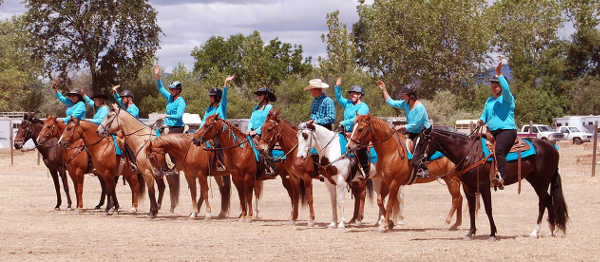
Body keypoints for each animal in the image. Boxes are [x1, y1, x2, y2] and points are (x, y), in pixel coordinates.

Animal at [410, 126, 568, 241]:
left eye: (422, 142)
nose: (414, 162)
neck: (468, 153)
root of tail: (551, 146)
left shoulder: (484, 186)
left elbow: (488, 209)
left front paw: (492, 233)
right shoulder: (468, 188)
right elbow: (472, 210)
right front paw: (470, 233)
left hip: (541, 181)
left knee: (544, 201)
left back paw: (536, 231)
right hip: (534, 179)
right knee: (547, 201)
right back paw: (551, 230)